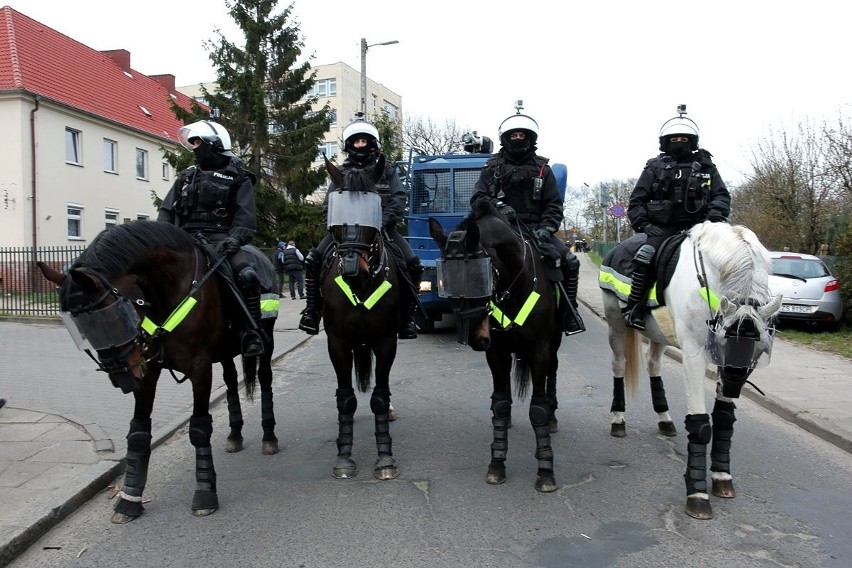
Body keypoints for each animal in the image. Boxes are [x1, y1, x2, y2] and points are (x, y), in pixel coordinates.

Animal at [38, 220, 278, 520]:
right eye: (82, 327)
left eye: (111, 317)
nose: (120, 374)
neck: (170, 293)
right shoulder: (147, 367)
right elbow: (138, 434)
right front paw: (129, 499)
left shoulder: (199, 368)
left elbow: (199, 429)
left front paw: (204, 493)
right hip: (224, 353)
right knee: (232, 382)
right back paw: (235, 436)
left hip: (264, 343)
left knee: (265, 379)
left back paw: (269, 437)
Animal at [320, 158, 406, 482]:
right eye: (338, 206)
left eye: (373, 208)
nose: (350, 267)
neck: (362, 285)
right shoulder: (338, 344)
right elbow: (345, 399)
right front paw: (344, 457)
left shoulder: (386, 342)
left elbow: (379, 397)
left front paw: (385, 458)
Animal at [430, 201, 564, 492]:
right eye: (446, 280)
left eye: (478, 275)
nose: (474, 338)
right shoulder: (496, 352)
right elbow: (500, 405)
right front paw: (497, 463)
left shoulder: (540, 351)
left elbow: (537, 409)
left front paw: (545, 470)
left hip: (555, 345)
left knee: (553, 374)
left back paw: (552, 417)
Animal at [600, 221, 780, 520]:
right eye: (727, 341)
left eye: (758, 351)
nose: (733, 385)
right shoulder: (695, 354)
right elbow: (701, 425)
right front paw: (697, 493)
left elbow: (724, 420)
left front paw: (721, 476)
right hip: (616, 327)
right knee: (619, 366)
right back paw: (618, 420)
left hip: (659, 333)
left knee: (653, 364)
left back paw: (664, 418)